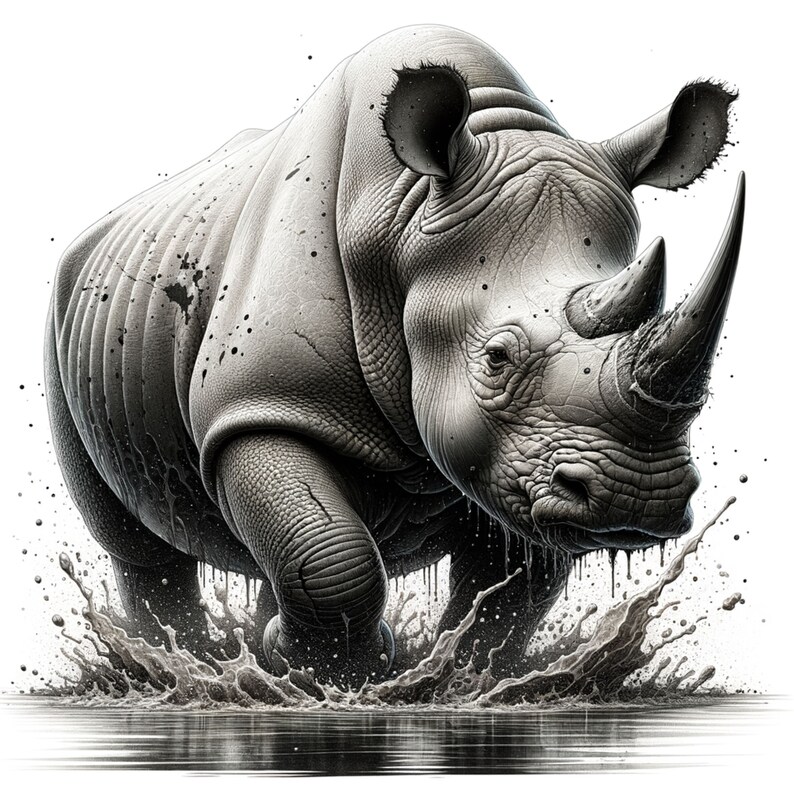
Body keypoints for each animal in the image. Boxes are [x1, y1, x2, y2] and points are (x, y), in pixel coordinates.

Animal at [45, 24, 744, 684]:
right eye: (496, 358)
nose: (640, 495)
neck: (400, 218)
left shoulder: (515, 459)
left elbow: (515, 588)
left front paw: (462, 675)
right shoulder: (260, 404)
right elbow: (332, 557)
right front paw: (326, 675)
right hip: (62, 318)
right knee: (142, 547)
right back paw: (185, 659)